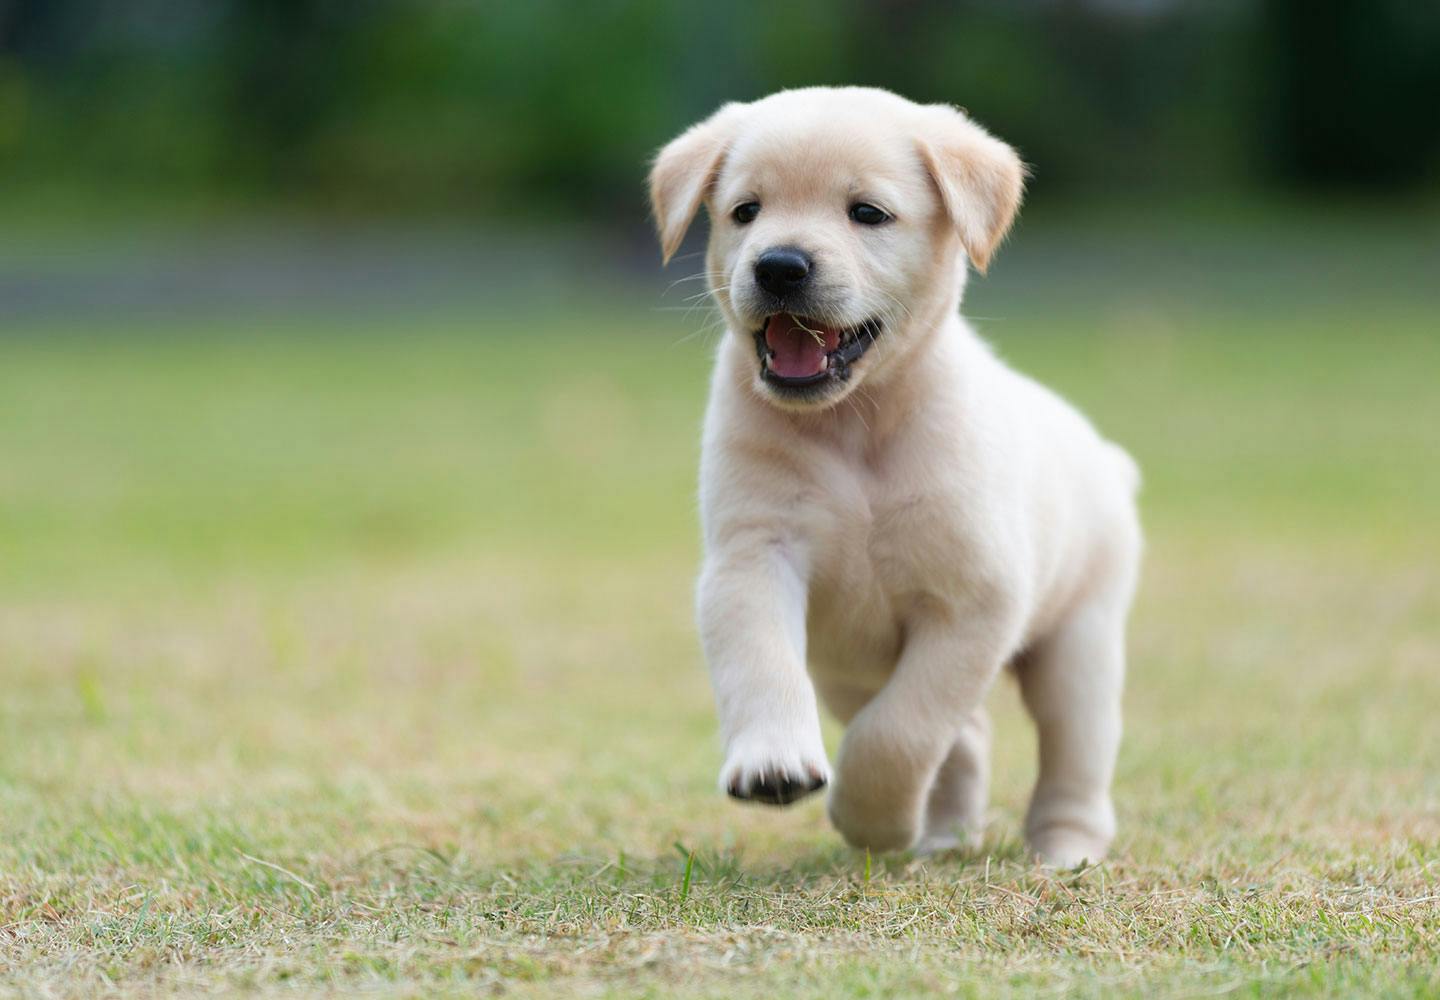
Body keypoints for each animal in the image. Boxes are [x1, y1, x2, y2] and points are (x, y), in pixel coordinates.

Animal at [650, 88, 1134, 870]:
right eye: (745, 210)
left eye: (868, 213)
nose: (779, 266)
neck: (856, 426)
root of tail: (1107, 459)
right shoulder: (752, 556)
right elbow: (761, 662)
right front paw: (775, 763)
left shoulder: (973, 603)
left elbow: (900, 731)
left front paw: (871, 818)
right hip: (845, 670)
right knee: (966, 739)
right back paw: (944, 832)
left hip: (1080, 643)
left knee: (1071, 754)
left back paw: (1065, 849)